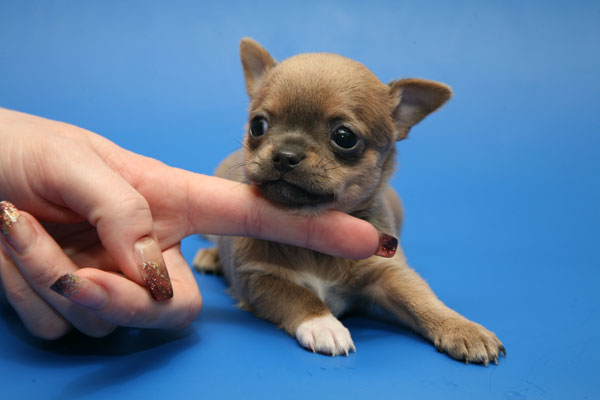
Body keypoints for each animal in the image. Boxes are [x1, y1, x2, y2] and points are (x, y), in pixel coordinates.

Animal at [194, 38, 505, 365]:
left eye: (344, 137)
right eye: (257, 126)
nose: (285, 155)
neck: (314, 234)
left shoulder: (387, 274)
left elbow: (421, 298)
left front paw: (462, 327)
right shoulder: (257, 278)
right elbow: (298, 295)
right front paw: (324, 324)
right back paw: (211, 257)